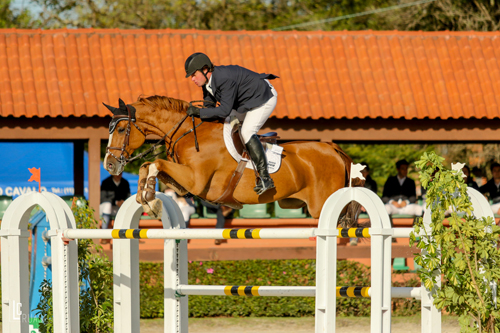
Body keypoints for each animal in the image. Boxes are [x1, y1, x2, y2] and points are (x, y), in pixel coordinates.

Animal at [102, 95, 360, 220]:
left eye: (122, 129)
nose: (110, 164)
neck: (188, 133)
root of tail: (333, 149)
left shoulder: (196, 180)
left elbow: (154, 163)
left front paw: (151, 201)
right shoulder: (185, 185)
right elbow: (147, 165)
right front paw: (146, 199)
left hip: (322, 204)